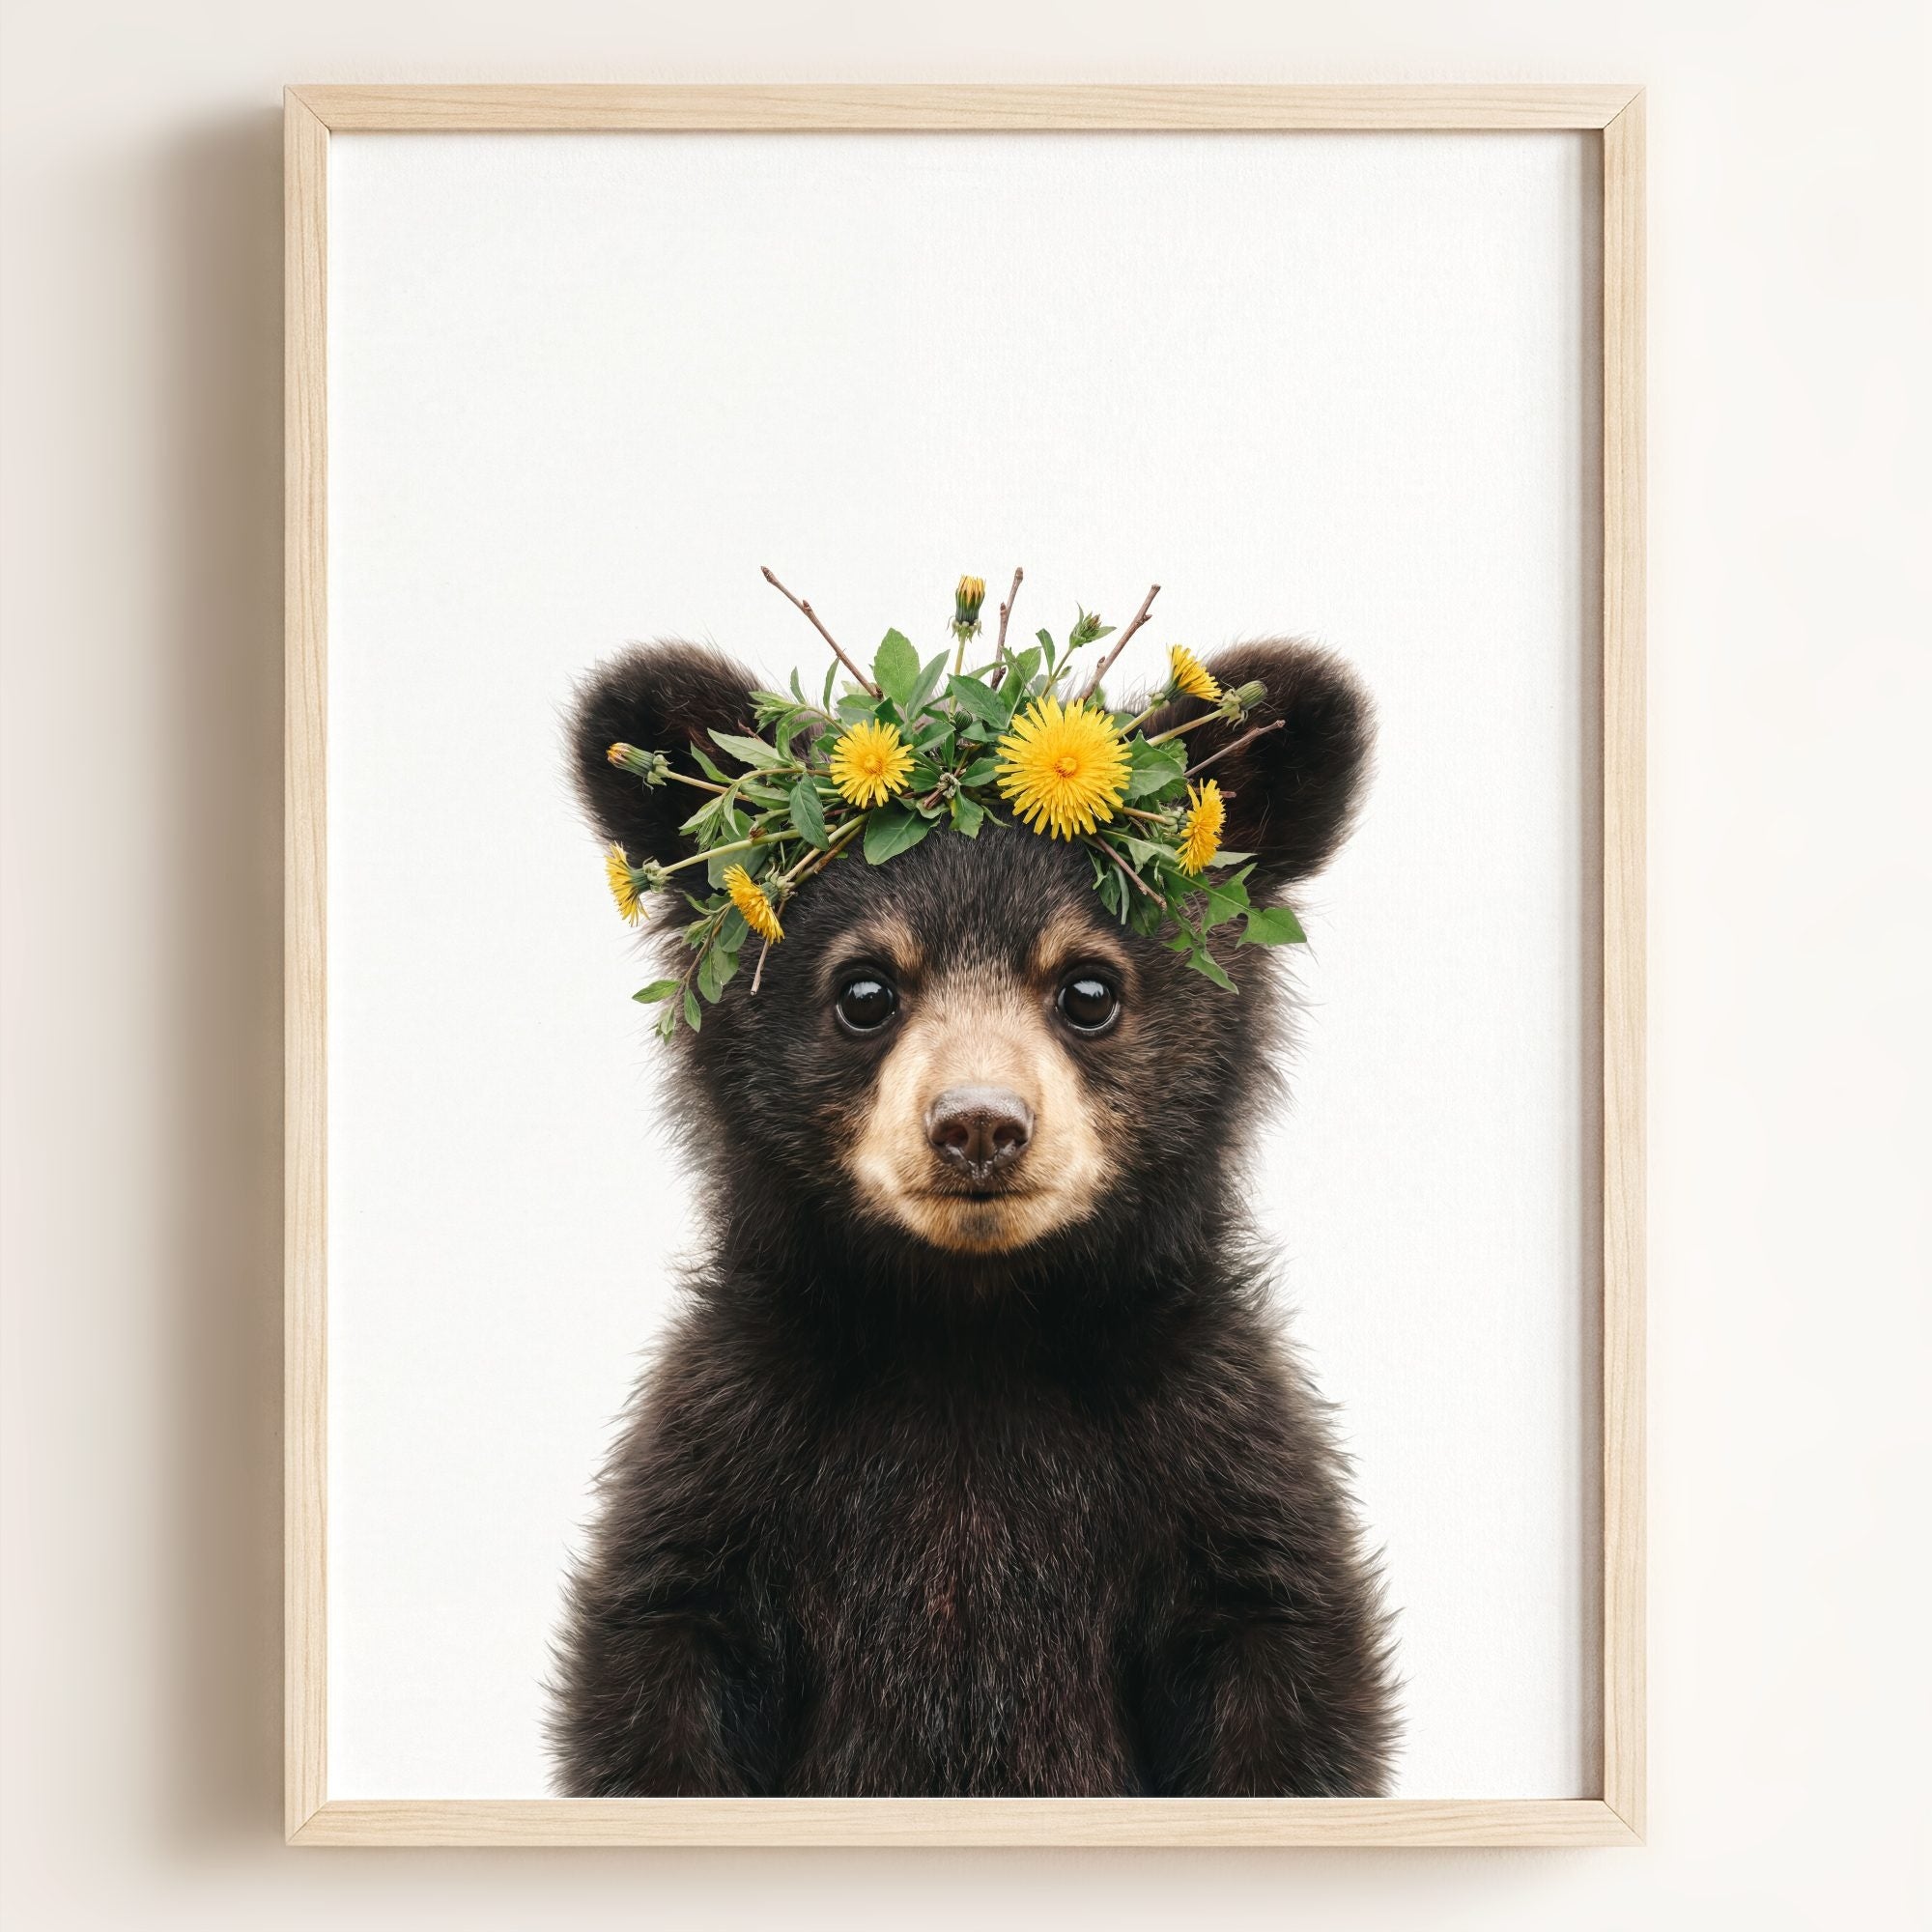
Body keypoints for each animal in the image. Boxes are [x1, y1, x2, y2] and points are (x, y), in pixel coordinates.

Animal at [549, 634, 1397, 1798]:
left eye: (1088, 988)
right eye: (864, 990)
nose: (980, 1126)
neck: (971, 1329)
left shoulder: (1215, 1456)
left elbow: (1281, 1676)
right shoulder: (728, 1455)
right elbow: (660, 1674)